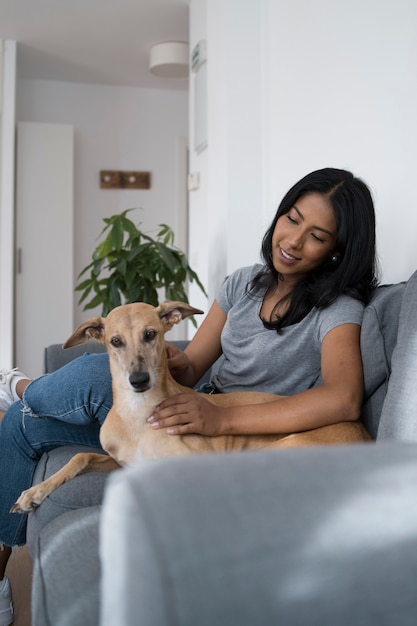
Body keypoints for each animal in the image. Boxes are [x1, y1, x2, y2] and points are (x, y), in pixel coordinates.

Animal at [12, 298, 370, 512]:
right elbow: (80, 456)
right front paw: (35, 492)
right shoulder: (121, 460)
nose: (139, 380)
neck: (139, 416)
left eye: (151, 334)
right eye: (115, 341)